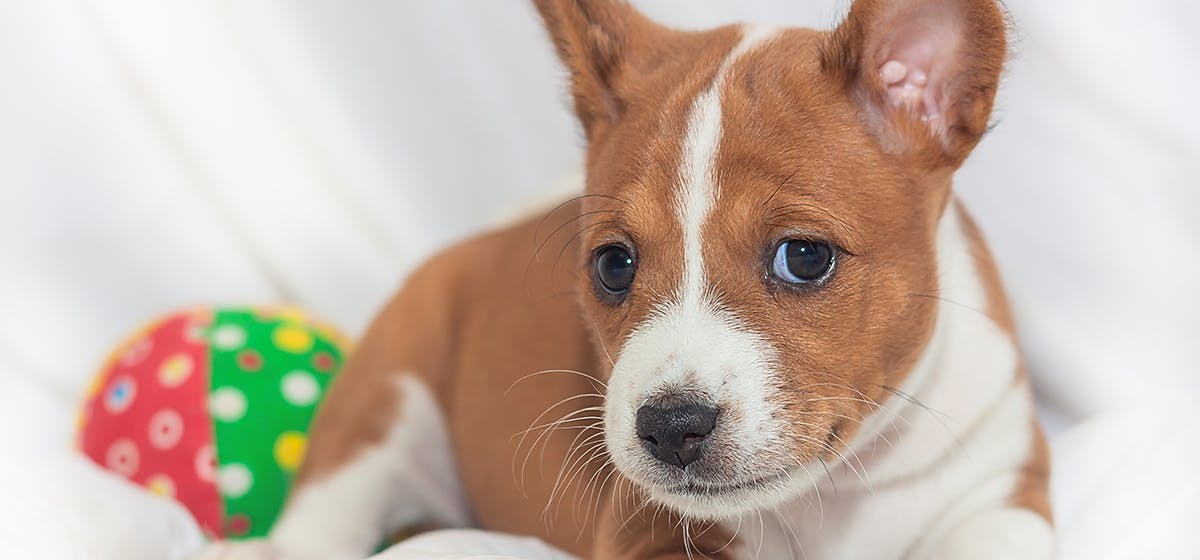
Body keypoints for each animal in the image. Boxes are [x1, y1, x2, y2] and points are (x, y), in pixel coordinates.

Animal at [196, 1, 1051, 560]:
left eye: (804, 257)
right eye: (614, 265)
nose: (671, 427)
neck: (835, 497)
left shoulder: (1003, 493)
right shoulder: (650, 528)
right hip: (381, 407)